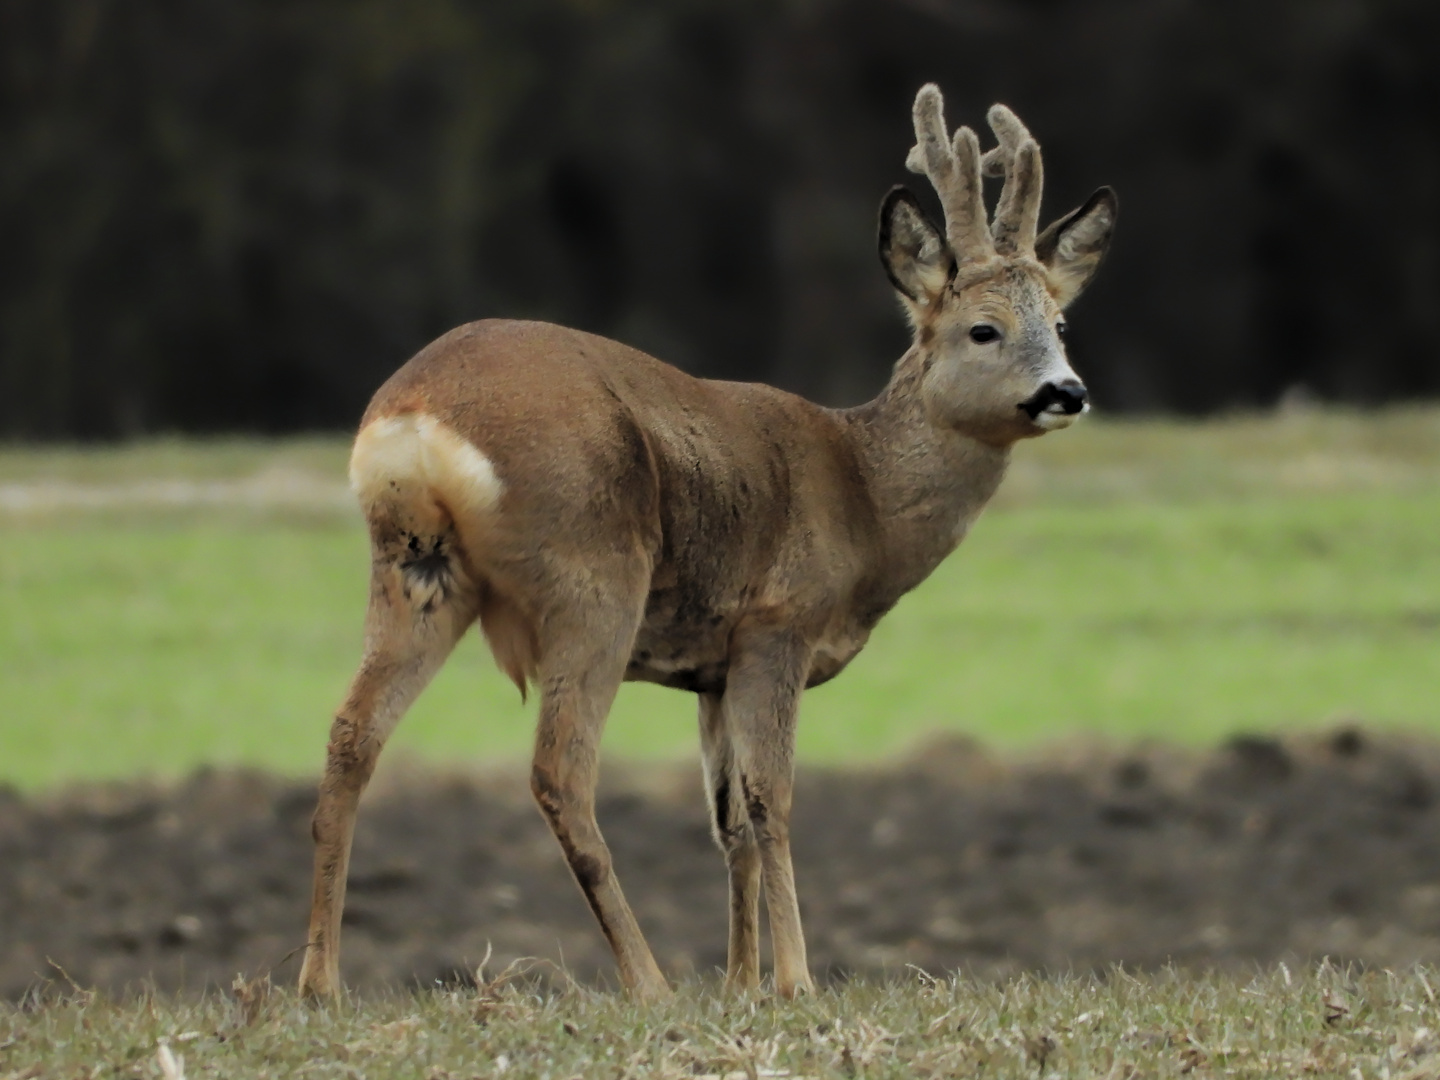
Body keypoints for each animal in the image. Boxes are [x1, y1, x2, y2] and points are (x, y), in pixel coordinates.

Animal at [298, 86, 1117, 1008]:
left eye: (1059, 321)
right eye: (983, 329)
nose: (1066, 391)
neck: (863, 497)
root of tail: (414, 417)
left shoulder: (711, 669)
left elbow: (727, 823)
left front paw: (740, 981)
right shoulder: (776, 625)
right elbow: (771, 799)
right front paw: (794, 980)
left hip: (414, 570)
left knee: (350, 738)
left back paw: (319, 983)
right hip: (593, 573)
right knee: (559, 773)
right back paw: (648, 981)